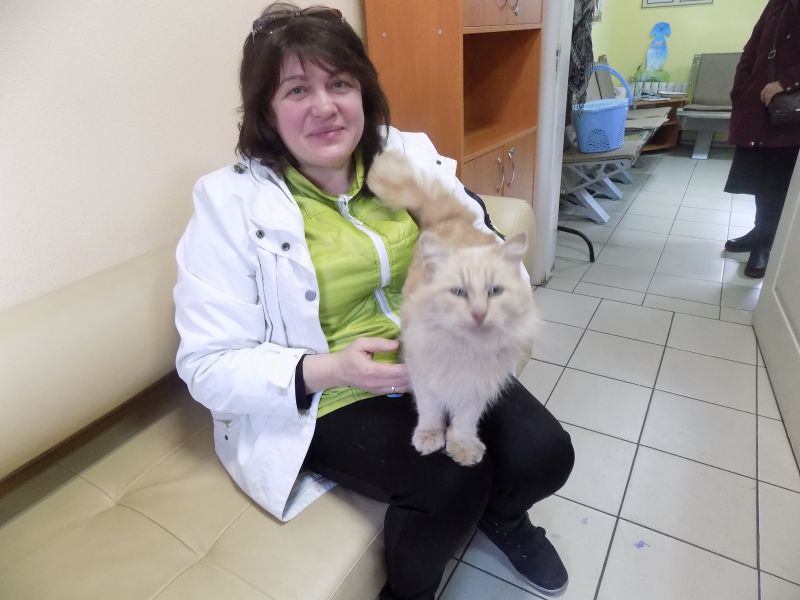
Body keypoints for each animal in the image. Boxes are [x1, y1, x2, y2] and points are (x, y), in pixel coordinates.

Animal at [366, 150, 538, 466]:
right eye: (459, 292)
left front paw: (462, 446)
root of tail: (450, 220)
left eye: (494, 291)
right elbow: (431, 412)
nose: (479, 314)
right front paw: (430, 438)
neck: (465, 349)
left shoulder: (475, 386)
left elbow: (464, 421)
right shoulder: (425, 376)